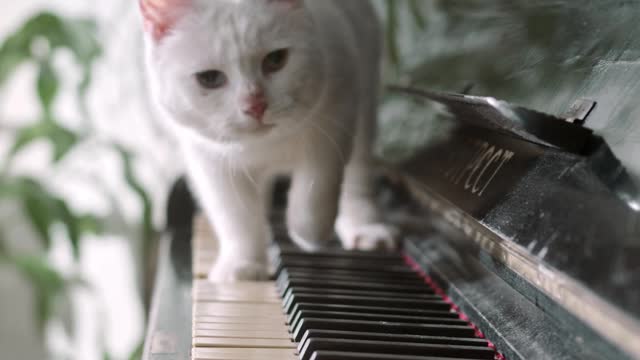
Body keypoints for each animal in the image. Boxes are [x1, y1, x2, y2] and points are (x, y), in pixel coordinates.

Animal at [142, 0, 398, 282]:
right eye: (209, 79)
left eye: (275, 60)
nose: (255, 105)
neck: (266, 145)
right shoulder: (208, 159)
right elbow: (237, 216)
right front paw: (243, 264)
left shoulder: (338, 111)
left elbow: (317, 185)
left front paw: (310, 234)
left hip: (366, 102)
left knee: (357, 177)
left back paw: (366, 229)